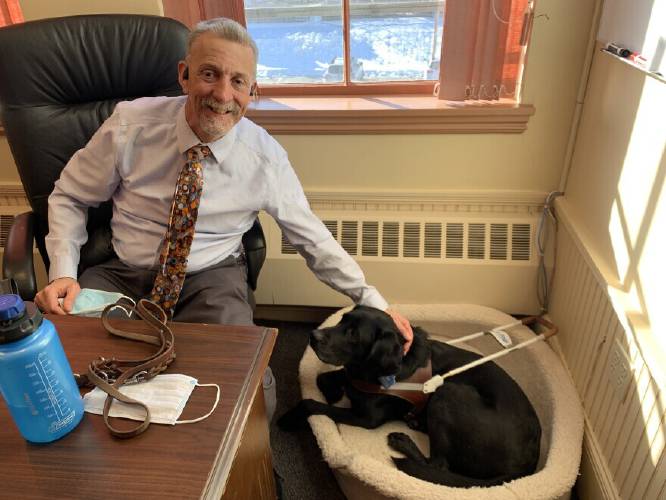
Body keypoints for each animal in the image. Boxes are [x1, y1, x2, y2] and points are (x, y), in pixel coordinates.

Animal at [276, 304, 540, 488]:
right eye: (342, 320)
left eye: (353, 334)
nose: (313, 335)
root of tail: (527, 463)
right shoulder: (353, 378)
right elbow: (326, 377)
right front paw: (333, 390)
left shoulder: (367, 419)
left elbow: (310, 403)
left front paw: (288, 418)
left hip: (447, 392)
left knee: (440, 466)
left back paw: (403, 441)